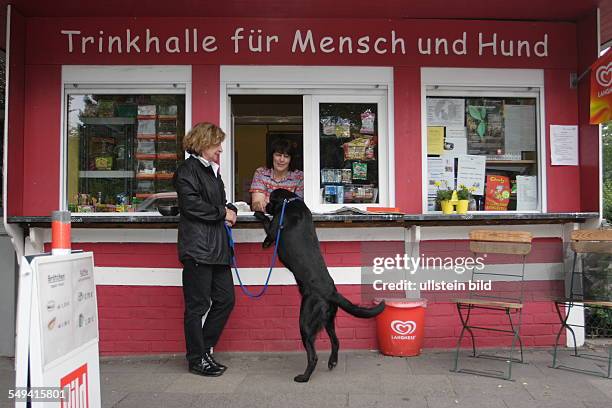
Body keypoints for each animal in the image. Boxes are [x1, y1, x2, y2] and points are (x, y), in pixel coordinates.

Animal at [252, 189, 384, 382]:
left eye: (270, 200)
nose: (266, 206)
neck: (290, 202)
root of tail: (331, 292)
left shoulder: (274, 230)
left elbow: (267, 228)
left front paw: (259, 214)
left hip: (306, 321)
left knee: (313, 356)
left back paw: (304, 377)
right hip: (328, 319)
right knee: (336, 341)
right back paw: (332, 362)